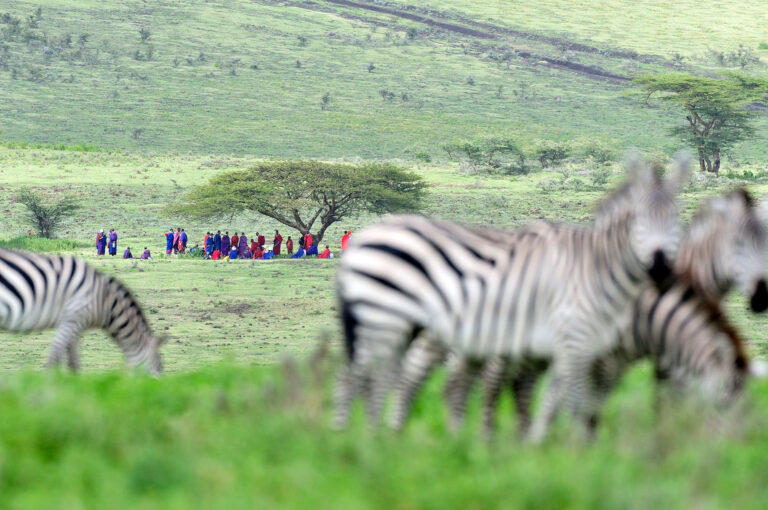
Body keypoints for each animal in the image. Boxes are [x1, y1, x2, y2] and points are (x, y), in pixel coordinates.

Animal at [0, 248, 165, 374]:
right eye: (159, 367)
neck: (103, 301)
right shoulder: (72, 318)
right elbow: (55, 357)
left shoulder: (75, 326)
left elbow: (73, 361)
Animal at [336, 153, 688, 428]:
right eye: (638, 220)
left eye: (677, 219)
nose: (661, 268)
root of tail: (367, 239)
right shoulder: (573, 338)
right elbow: (571, 400)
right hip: (388, 318)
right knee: (367, 376)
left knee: (393, 377)